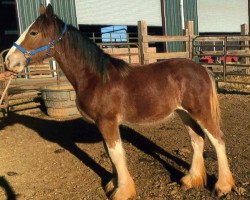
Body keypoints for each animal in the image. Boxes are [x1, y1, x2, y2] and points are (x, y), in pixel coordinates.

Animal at [4, 4, 234, 200]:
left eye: (33, 32)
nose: (8, 61)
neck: (96, 77)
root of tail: (202, 69)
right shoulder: (103, 125)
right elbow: (110, 153)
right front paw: (112, 186)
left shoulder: (107, 122)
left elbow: (116, 155)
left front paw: (122, 191)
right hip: (184, 112)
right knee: (197, 140)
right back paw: (190, 179)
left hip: (200, 112)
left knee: (218, 140)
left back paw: (222, 186)